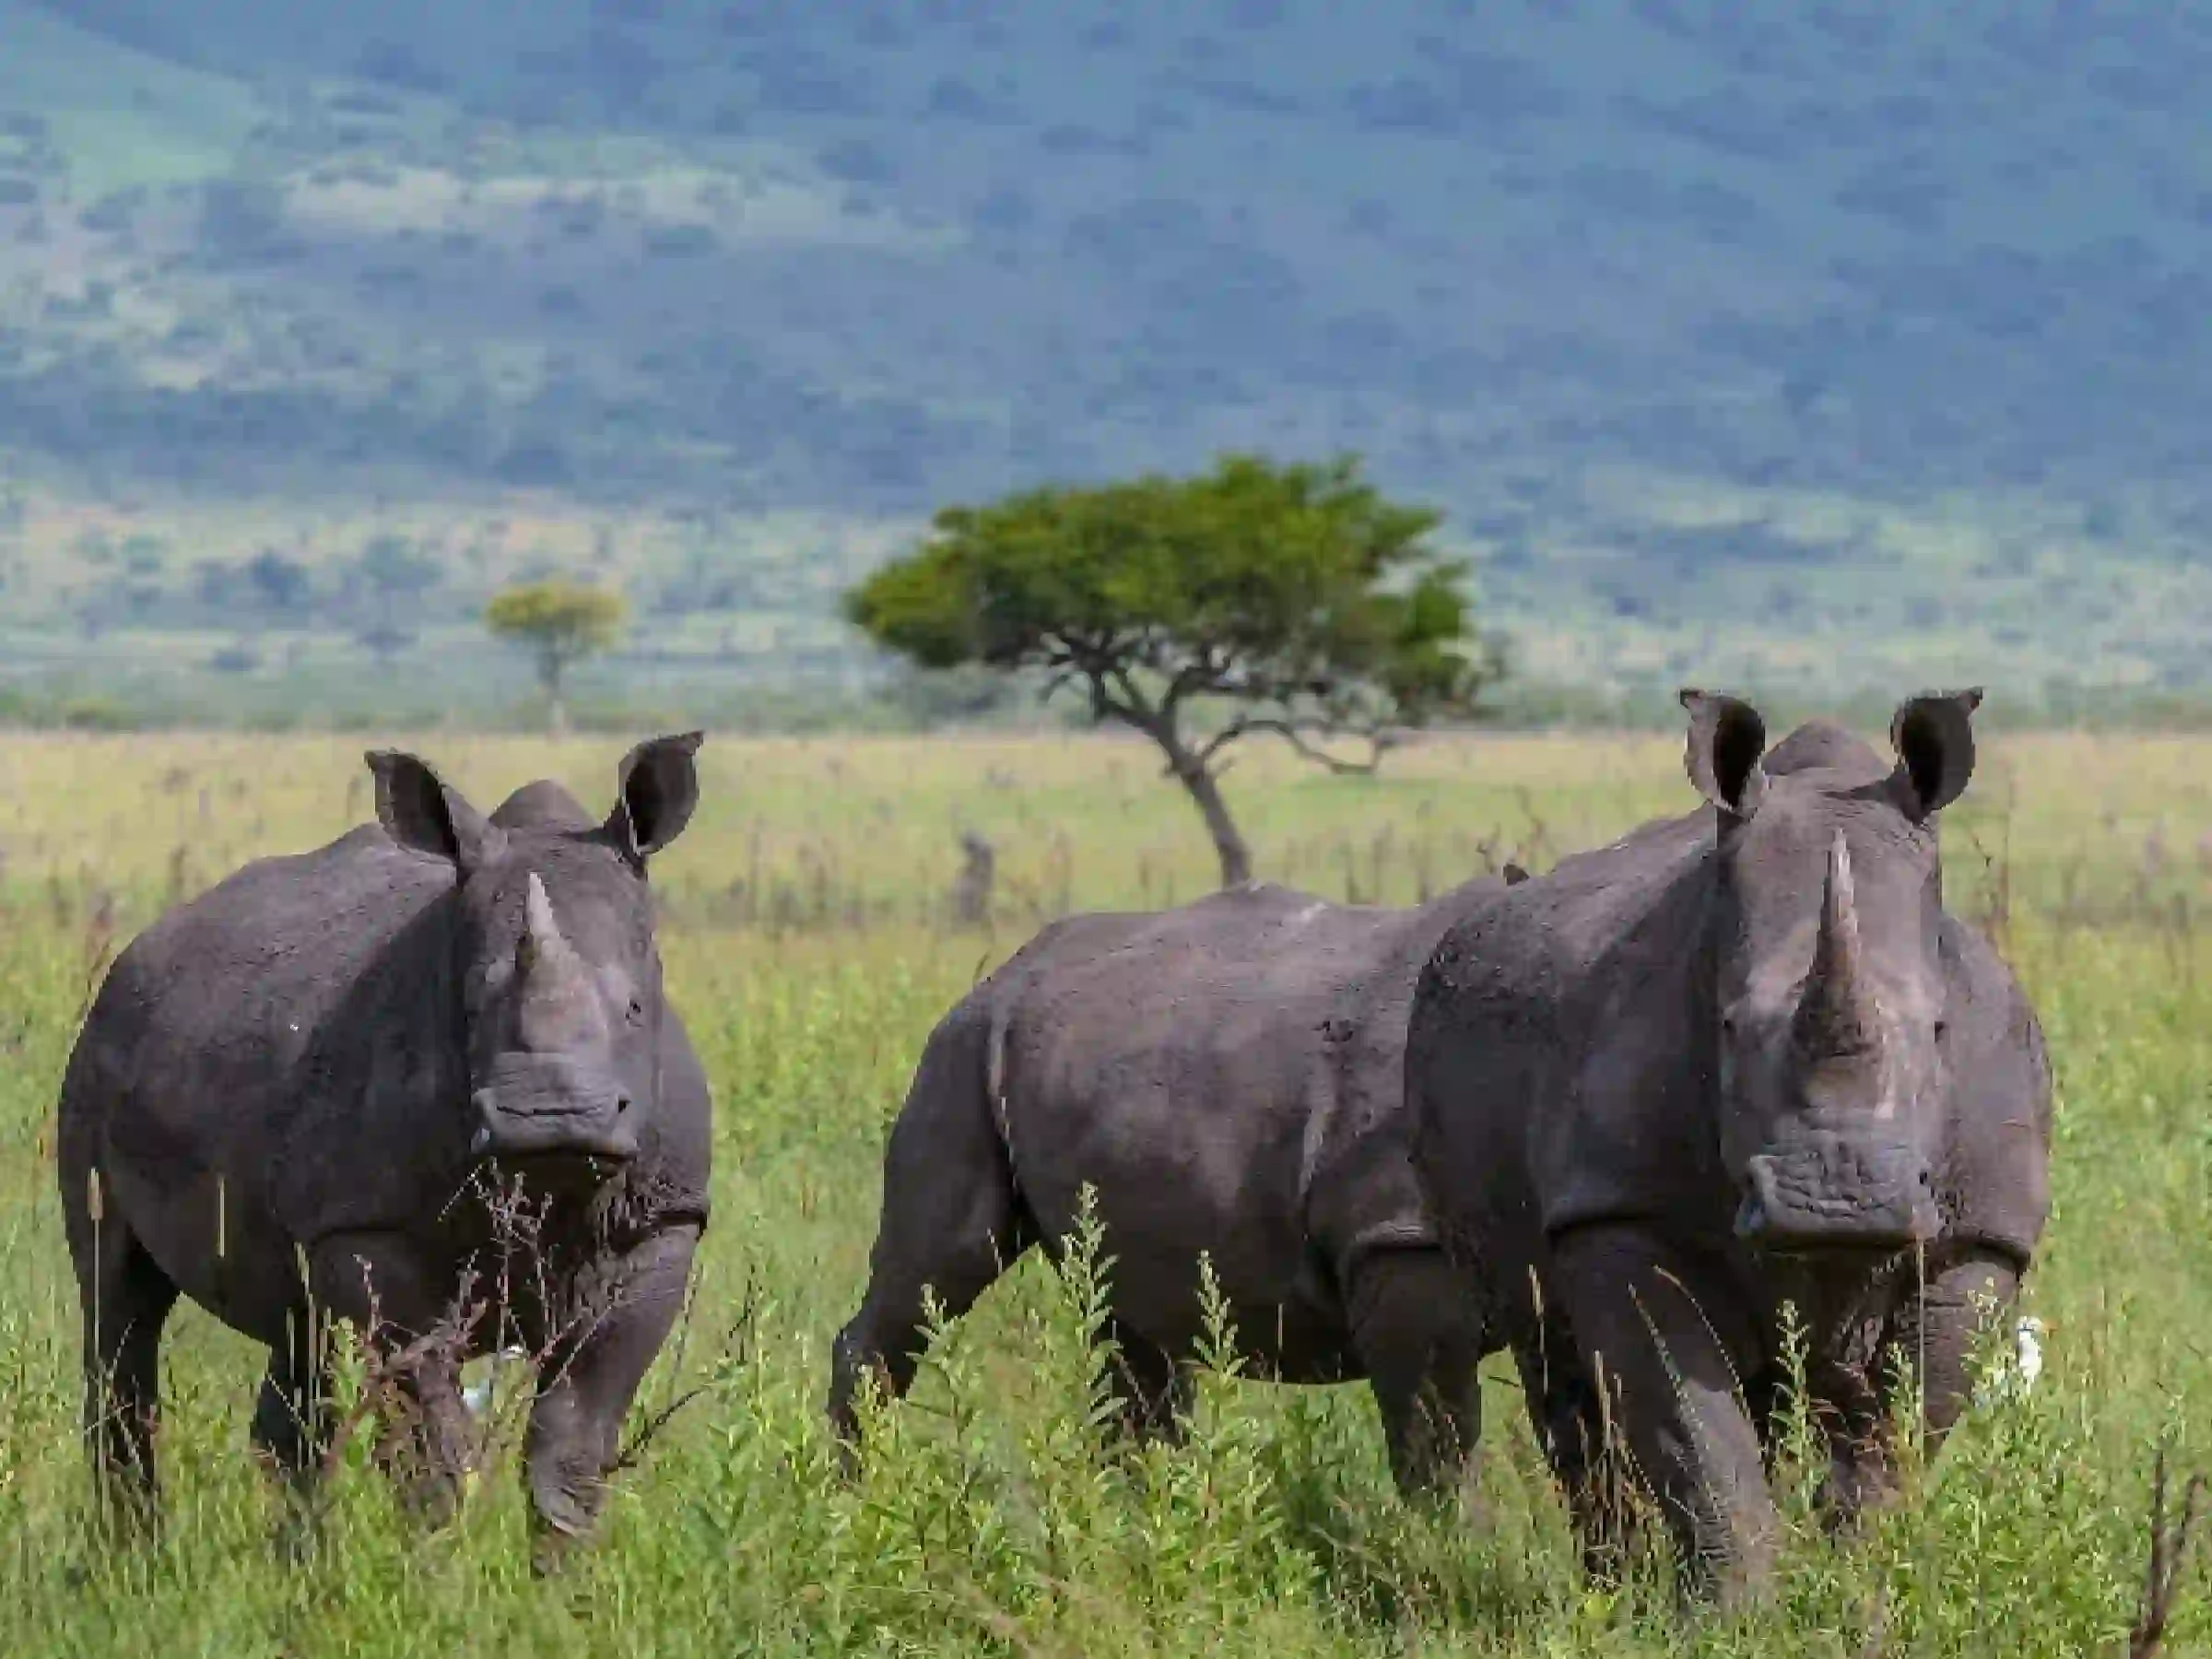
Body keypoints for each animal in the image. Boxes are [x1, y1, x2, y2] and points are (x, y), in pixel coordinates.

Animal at [58, 735, 711, 1566]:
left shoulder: (660, 1224)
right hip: (97, 1049)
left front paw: (563, 1585)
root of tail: (139, 950)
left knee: (295, 1337)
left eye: (635, 1007)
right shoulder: (368, 1227)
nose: (550, 1115)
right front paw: (434, 1576)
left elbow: (572, 1445)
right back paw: (134, 1563)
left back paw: (297, 1571)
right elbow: (428, 1443)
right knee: (117, 1300)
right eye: (468, 1007)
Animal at [830, 864, 1526, 1494]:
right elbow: (1437, 1444)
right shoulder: (1402, 1233)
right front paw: (1445, 1549)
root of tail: (998, 974)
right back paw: (860, 1502)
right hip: (965, 1045)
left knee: (1134, 1331)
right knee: (943, 1268)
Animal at [1404, 690, 2052, 1603]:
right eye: (1729, 1028)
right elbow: (1693, 1432)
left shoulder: (1980, 1237)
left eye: (1938, 1030)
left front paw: (1864, 1599)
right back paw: (1611, 1597)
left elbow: (1897, 1436)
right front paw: (1730, 1617)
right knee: (1557, 1365)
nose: (1838, 1202)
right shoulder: (1618, 1208)